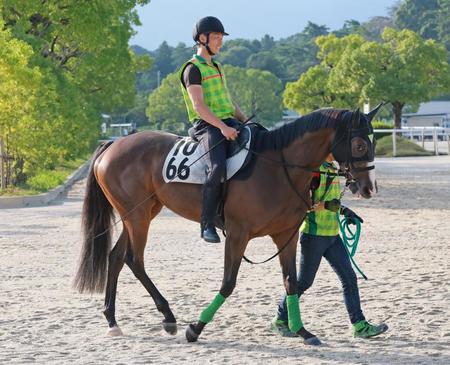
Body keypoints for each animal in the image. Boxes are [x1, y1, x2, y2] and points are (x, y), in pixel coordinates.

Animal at [73, 104, 380, 344]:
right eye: (360, 144)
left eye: (374, 143)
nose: (368, 188)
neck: (277, 167)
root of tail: (113, 144)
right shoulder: (237, 235)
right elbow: (228, 283)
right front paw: (196, 328)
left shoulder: (286, 236)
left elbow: (291, 282)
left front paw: (302, 331)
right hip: (137, 218)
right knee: (134, 260)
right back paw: (168, 317)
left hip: (141, 213)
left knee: (116, 257)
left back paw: (112, 320)